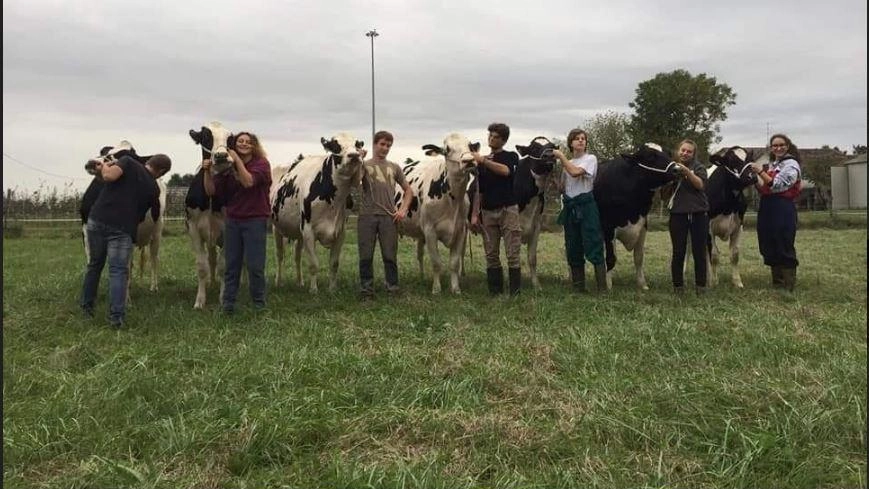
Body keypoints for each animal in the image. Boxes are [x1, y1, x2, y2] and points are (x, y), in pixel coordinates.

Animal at [185, 120, 234, 306]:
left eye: (230, 139)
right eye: (206, 137)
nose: (221, 156)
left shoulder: (228, 229)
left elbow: (223, 266)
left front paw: (223, 297)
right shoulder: (193, 228)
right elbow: (202, 266)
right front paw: (200, 300)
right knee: (211, 259)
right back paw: (212, 283)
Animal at [272, 133, 364, 292]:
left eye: (357, 145)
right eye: (335, 146)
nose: (354, 155)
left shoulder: (341, 232)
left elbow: (334, 264)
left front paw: (332, 289)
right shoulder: (308, 231)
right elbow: (314, 264)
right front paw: (314, 290)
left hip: (298, 233)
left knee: (297, 255)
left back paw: (300, 282)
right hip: (276, 228)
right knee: (280, 255)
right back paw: (278, 281)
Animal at [396, 132, 478, 294]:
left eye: (470, 146)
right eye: (447, 149)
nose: (468, 161)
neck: (452, 199)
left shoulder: (460, 231)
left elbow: (454, 263)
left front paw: (455, 288)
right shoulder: (430, 231)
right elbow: (436, 262)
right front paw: (436, 288)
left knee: (419, 254)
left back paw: (421, 277)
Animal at [592, 141, 680, 288]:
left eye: (669, 153)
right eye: (651, 156)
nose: (678, 169)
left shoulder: (643, 225)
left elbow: (639, 257)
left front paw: (642, 284)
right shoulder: (608, 227)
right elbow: (610, 258)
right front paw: (608, 285)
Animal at [700, 147, 756, 288]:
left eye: (750, 159)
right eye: (731, 161)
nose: (752, 176)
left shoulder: (738, 226)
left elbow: (735, 254)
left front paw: (737, 282)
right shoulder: (708, 228)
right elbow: (714, 255)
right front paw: (714, 282)